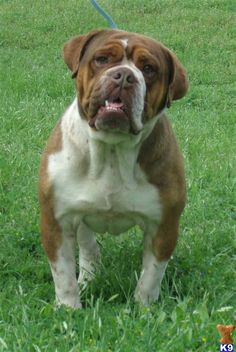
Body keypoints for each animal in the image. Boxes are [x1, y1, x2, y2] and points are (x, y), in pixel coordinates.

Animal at [38, 28, 188, 308]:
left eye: (149, 68)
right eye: (102, 59)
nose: (125, 75)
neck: (111, 151)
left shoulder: (163, 225)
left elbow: (151, 276)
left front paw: (144, 309)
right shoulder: (56, 221)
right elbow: (63, 276)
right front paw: (69, 310)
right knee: (88, 246)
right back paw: (88, 279)